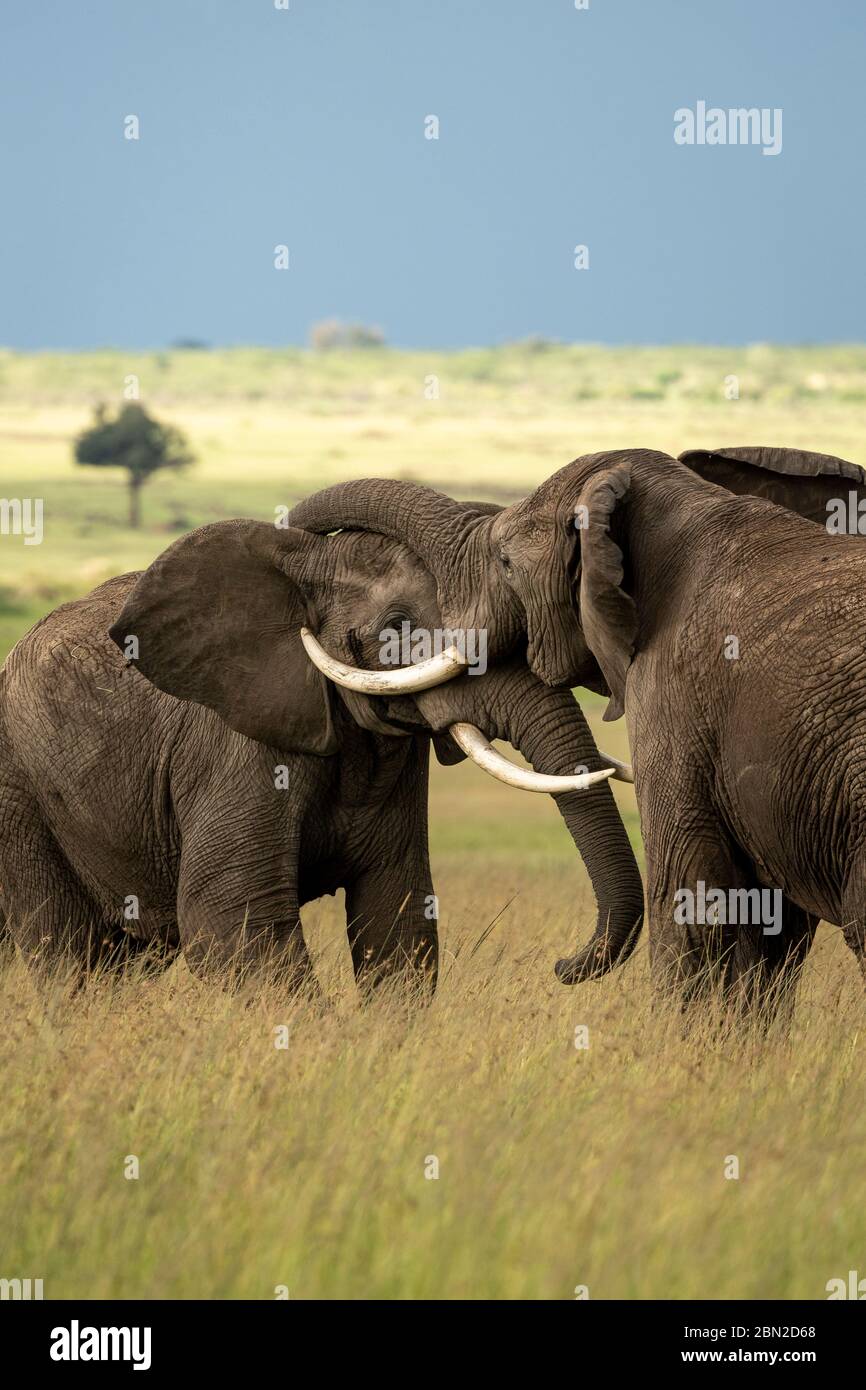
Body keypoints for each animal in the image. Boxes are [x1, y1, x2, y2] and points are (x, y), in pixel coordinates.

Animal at [0, 513, 641, 995]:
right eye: (398, 628)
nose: (562, 965)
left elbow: (398, 917)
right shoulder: (237, 748)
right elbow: (231, 919)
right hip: (18, 793)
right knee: (68, 952)